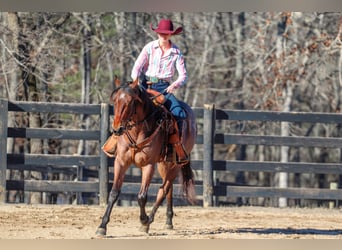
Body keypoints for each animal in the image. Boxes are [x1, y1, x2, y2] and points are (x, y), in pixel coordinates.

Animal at [96, 78, 198, 236]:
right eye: (115, 100)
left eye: (130, 102)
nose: (117, 129)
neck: (138, 131)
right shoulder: (121, 162)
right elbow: (114, 193)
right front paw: (102, 226)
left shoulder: (148, 165)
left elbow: (142, 196)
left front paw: (144, 221)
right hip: (164, 164)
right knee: (168, 189)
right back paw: (168, 221)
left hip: (175, 164)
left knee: (163, 190)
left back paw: (149, 221)